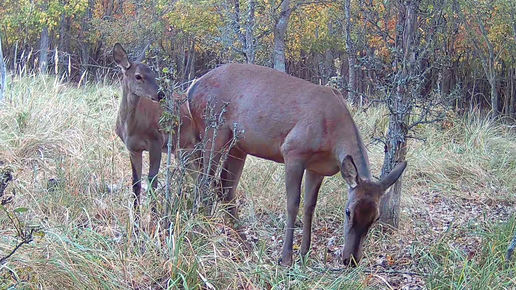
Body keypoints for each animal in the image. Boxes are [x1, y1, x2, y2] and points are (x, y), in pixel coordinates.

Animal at [183, 62, 410, 266]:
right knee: (204, 181)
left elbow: (310, 206)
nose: (351, 260)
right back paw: (203, 230)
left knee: (225, 188)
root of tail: (191, 88)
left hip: (238, 145)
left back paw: (245, 245)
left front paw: (304, 252)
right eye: (348, 211)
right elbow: (293, 203)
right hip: (213, 129)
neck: (332, 134)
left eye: (376, 217)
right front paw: (286, 258)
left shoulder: (317, 168)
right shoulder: (293, 151)